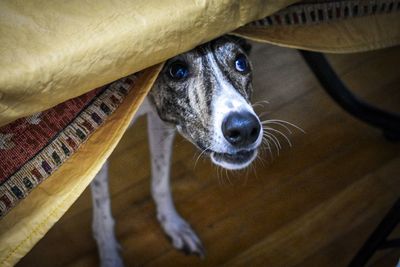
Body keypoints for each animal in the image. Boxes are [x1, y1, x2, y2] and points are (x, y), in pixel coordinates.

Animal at [89, 36, 286, 266]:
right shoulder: (98, 146)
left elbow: (160, 181)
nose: (245, 129)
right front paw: (109, 255)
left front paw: (172, 224)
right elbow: (102, 207)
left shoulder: (160, 122)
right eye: (177, 70)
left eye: (241, 63)